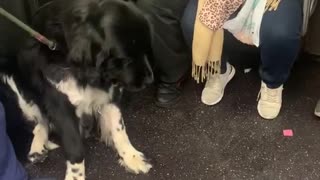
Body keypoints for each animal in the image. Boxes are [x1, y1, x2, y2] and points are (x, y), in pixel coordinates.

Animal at [0, 0, 154, 179]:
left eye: (146, 51)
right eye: (126, 59)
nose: (150, 80)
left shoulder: (110, 93)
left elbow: (119, 129)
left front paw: (131, 157)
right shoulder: (60, 106)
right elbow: (75, 147)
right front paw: (75, 175)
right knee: (40, 122)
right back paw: (37, 149)